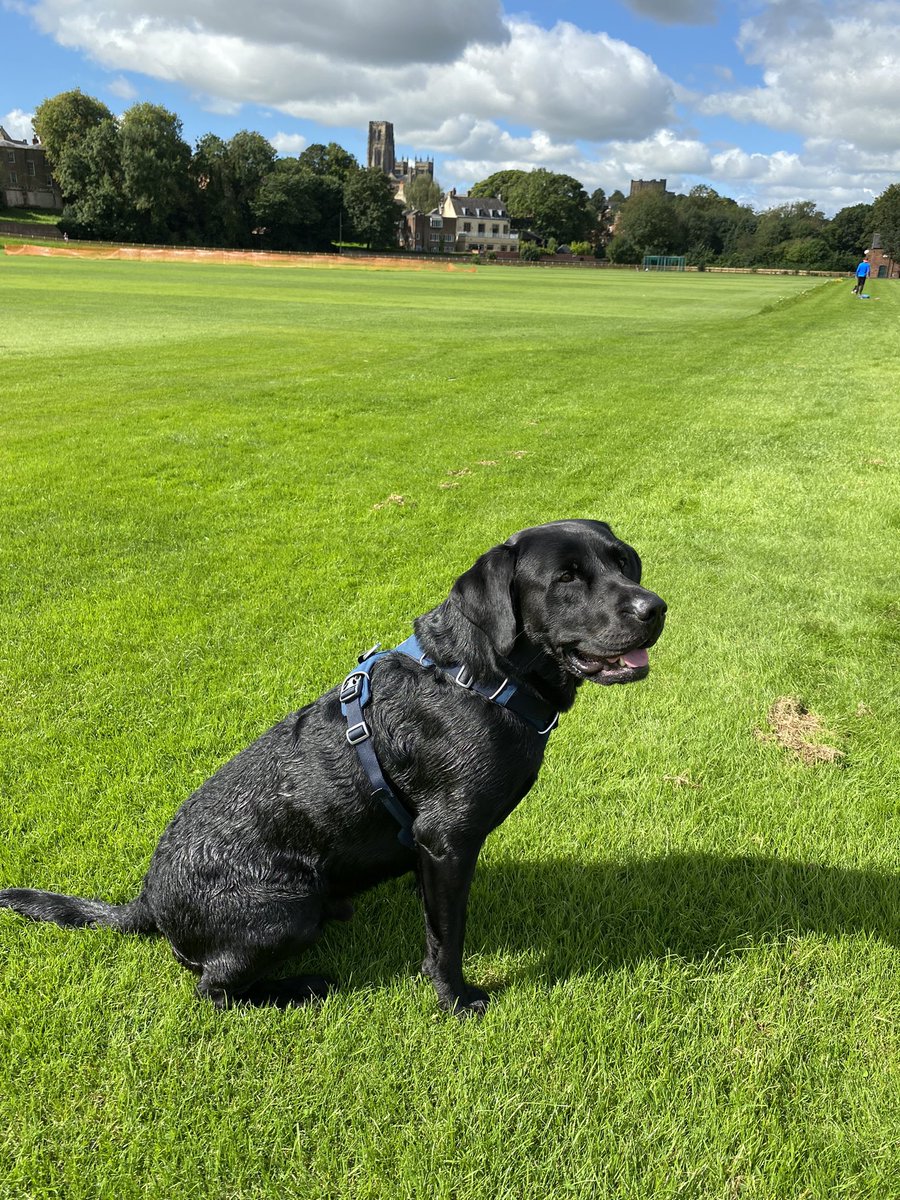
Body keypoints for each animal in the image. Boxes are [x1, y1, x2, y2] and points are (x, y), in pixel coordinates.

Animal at [0, 520, 662, 1017]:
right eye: (566, 578)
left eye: (624, 563)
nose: (654, 607)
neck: (477, 676)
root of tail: (147, 901)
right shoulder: (446, 839)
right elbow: (446, 939)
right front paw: (454, 998)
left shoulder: (430, 849)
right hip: (288, 908)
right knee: (213, 988)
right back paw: (298, 987)